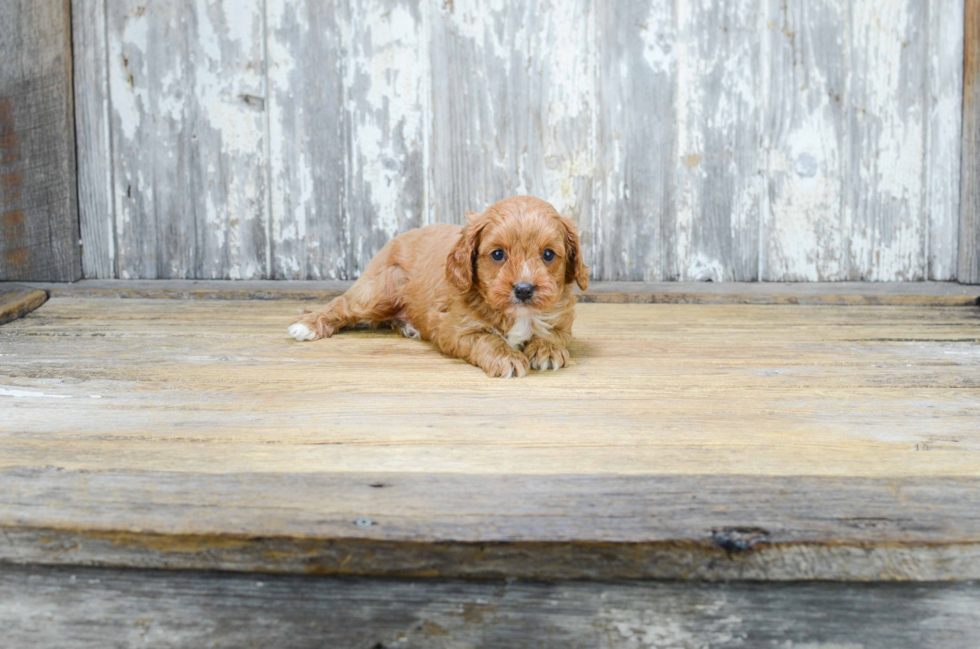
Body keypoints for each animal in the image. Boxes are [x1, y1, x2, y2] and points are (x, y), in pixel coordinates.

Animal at [288, 195, 584, 378]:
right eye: (498, 254)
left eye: (548, 254)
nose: (523, 290)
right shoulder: (454, 329)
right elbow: (487, 338)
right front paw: (507, 357)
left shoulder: (564, 322)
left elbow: (554, 333)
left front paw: (546, 349)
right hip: (379, 291)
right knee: (342, 304)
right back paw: (307, 325)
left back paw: (407, 325)